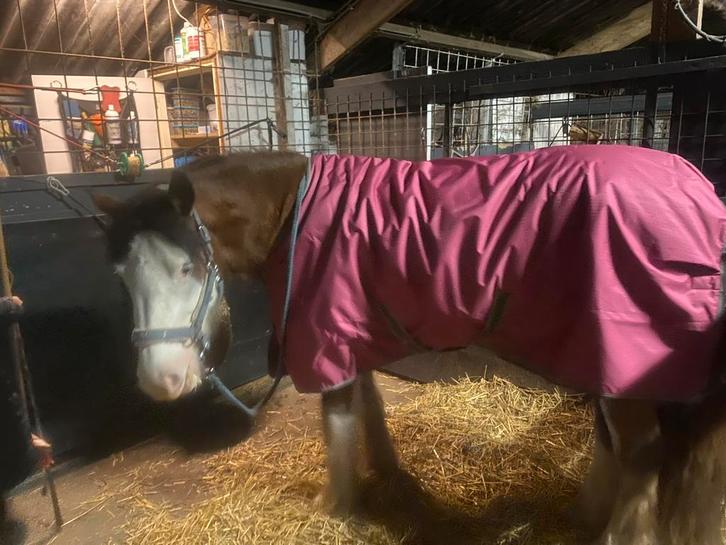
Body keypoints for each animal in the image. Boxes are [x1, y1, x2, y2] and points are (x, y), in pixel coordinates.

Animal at [93, 145, 726, 545]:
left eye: (186, 267)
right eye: (121, 276)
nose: (160, 382)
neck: (293, 214)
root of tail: (697, 191)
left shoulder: (325, 336)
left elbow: (338, 424)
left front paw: (337, 509)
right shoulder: (351, 333)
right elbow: (369, 410)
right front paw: (388, 477)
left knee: (642, 450)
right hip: (603, 354)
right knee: (613, 440)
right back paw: (585, 515)